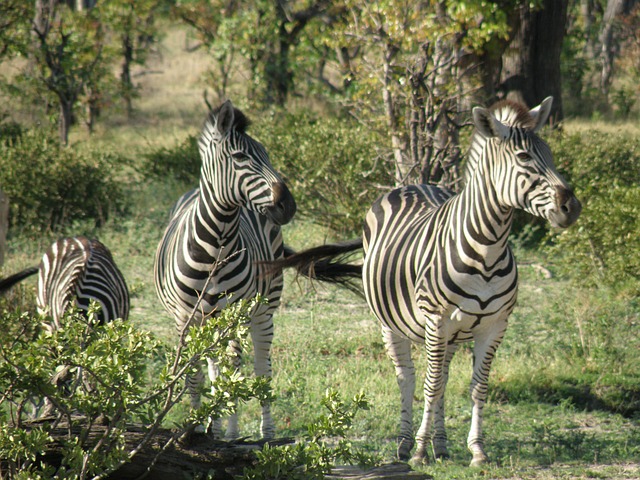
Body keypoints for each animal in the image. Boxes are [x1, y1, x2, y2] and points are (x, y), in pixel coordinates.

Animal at [154, 99, 296, 440]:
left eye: (267, 154)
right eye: (241, 157)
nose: (288, 206)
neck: (215, 245)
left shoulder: (234, 313)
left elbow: (234, 371)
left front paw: (227, 430)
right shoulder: (184, 319)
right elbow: (194, 373)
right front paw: (195, 429)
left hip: (262, 308)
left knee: (258, 365)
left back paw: (262, 431)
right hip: (210, 320)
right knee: (214, 365)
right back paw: (215, 426)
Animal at [262, 96, 584, 464]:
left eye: (550, 154)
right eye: (525, 157)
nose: (572, 207)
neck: (488, 249)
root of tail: (413, 182)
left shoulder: (495, 325)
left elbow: (477, 387)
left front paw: (477, 449)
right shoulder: (436, 319)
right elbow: (430, 386)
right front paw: (418, 450)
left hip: (454, 333)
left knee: (441, 374)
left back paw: (441, 445)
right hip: (392, 324)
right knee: (408, 378)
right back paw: (405, 443)